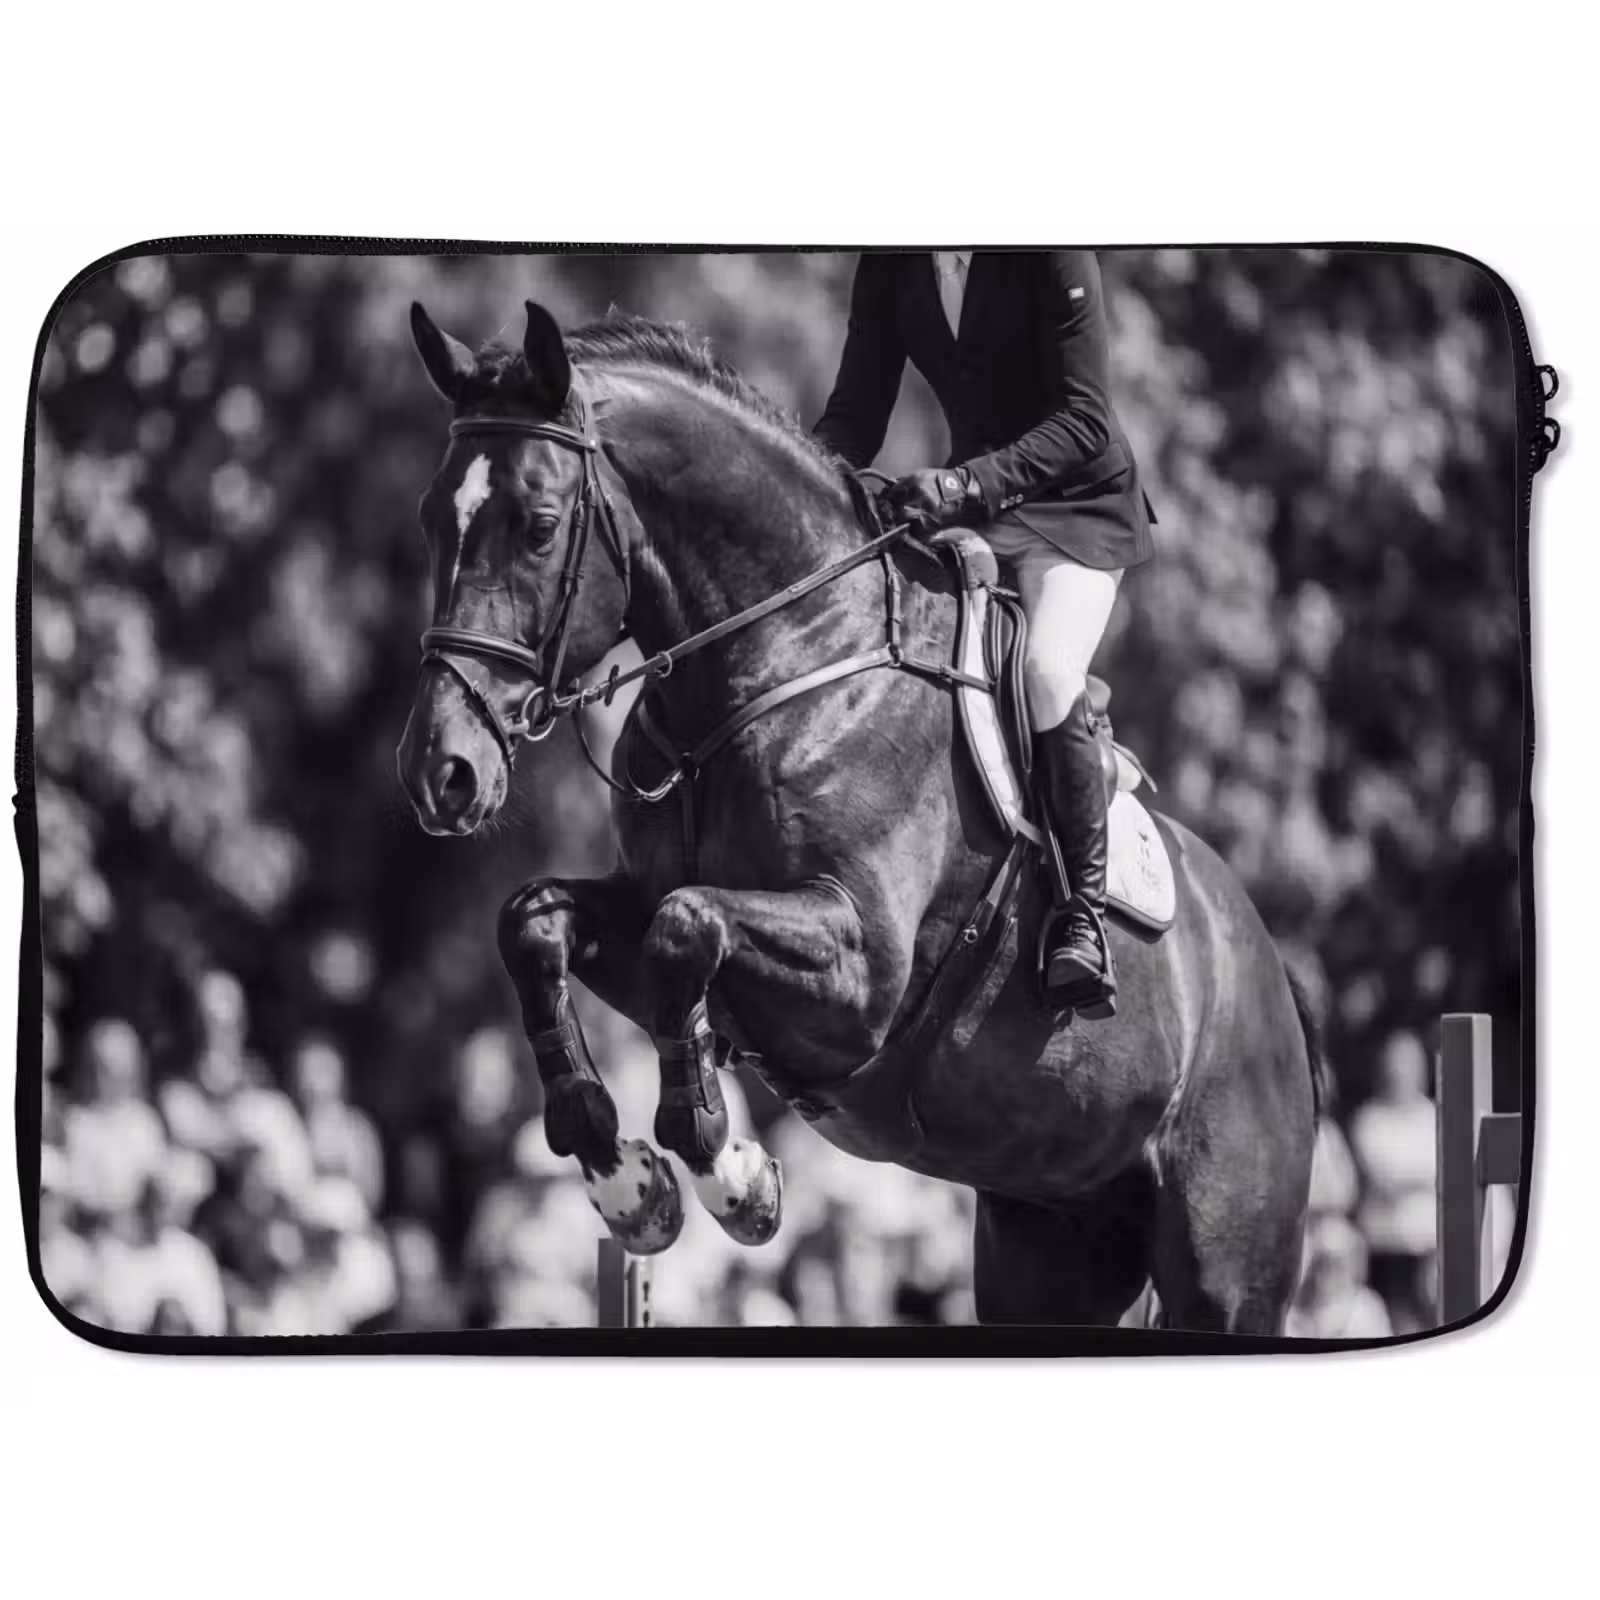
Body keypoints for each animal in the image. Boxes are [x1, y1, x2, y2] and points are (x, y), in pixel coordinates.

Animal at [395, 297, 1323, 1332]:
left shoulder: (860, 975)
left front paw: (732, 1174)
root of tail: (1273, 981)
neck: (780, 661)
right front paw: (623, 1180)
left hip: (1222, 1267)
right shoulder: (652, 921)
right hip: (1049, 1240)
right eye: (432, 517)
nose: (442, 772)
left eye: (540, 525)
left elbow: (687, 928)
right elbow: (537, 923)